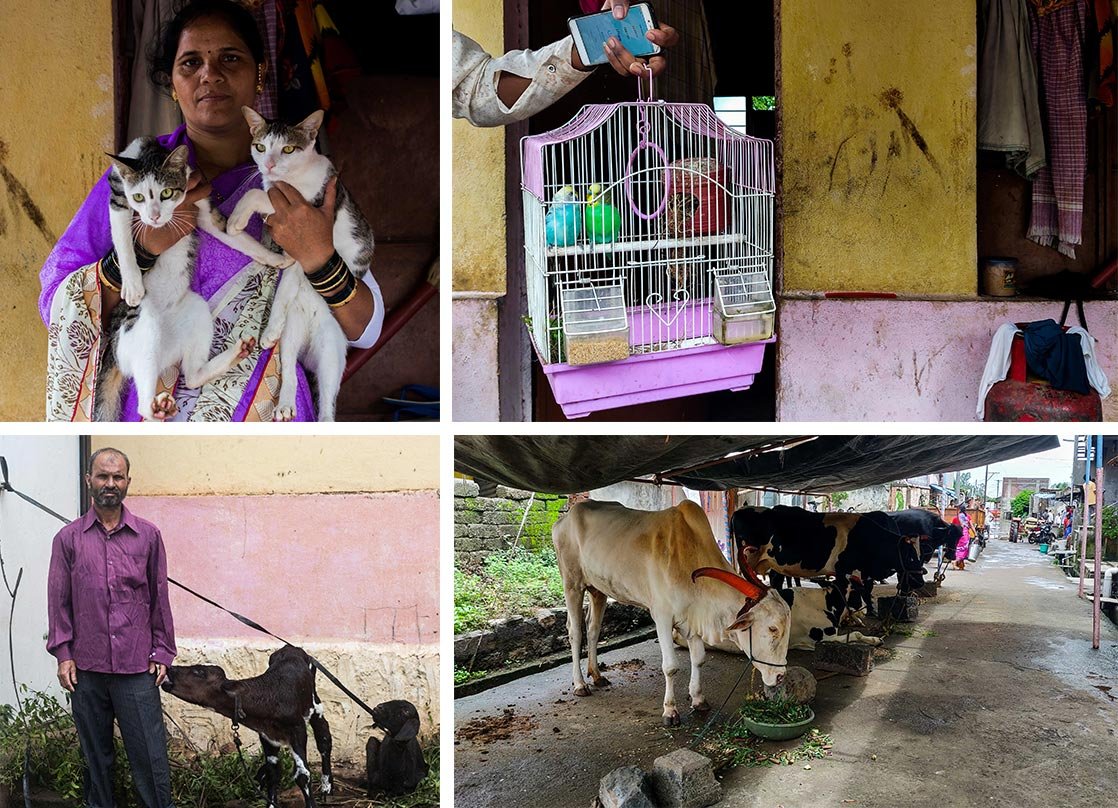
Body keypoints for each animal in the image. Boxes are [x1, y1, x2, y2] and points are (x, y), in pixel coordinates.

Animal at [95, 137, 256, 422]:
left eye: (167, 193)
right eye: (139, 197)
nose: (154, 216)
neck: (147, 152)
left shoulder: (200, 204)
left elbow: (233, 234)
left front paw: (277, 258)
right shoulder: (118, 196)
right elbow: (123, 241)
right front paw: (132, 284)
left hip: (197, 310)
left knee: (192, 377)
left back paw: (235, 354)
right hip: (140, 325)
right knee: (143, 401)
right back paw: (153, 407)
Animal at [201, 107, 375, 422]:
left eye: (288, 149)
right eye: (260, 147)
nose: (269, 166)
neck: (290, 181)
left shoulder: (307, 212)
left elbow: (259, 195)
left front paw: (235, 221)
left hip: (331, 351)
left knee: (327, 403)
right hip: (291, 336)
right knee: (290, 370)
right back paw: (284, 405)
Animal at [554, 498, 791, 728]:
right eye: (772, 628)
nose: (780, 677)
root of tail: (563, 520)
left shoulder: (693, 617)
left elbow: (699, 659)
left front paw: (698, 699)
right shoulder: (662, 617)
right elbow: (670, 667)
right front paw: (670, 710)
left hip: (598, 589)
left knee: (593, 629)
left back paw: (596, 675)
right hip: (572, 584)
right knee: (575, 632)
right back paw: (580, 684)